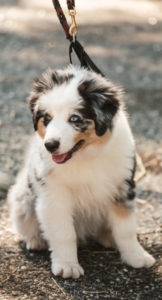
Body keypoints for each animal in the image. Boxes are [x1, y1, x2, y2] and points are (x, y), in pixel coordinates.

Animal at [8, 65, 155, 278]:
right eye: (47, 118)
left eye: (75, 119)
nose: (50, 145)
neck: (85, 155)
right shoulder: (54, 194)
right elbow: (63, 232)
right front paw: (67, 266)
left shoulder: (122, 186)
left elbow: (126, 227)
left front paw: (137, 257)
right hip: (23, 198)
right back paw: (36, 241)